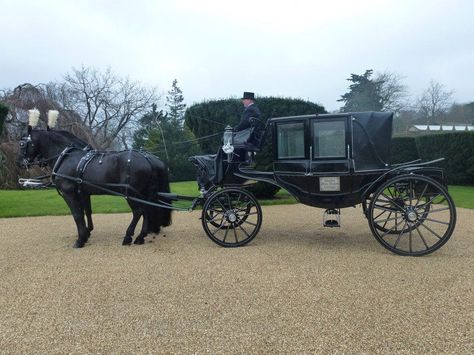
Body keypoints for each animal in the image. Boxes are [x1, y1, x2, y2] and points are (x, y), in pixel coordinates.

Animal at [19, 128, 174, 248]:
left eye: (21, 143)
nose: (20, 163)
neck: (67, 157)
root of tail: (148, 160)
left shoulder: (69, 193)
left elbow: (77, 214)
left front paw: (80, 239)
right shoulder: (83, 192)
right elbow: (87, 212)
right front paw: (87, 232)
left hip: (130, 192)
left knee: (138, 211)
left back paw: (128, 236)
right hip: (143, 193)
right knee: (147, 210)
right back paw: (141, 237)